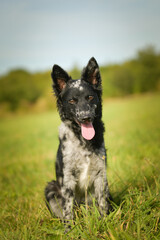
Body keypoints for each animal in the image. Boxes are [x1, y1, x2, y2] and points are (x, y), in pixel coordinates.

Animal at [44, 57, 111, 226]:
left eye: (90, 97)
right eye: (72, 101)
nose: (85, 117)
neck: (83, 141)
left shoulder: (101, 175)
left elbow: (102, 204)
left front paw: (105, 223)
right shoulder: (67, 179)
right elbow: (68, 210)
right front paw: (69, 229)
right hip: (51, 188)